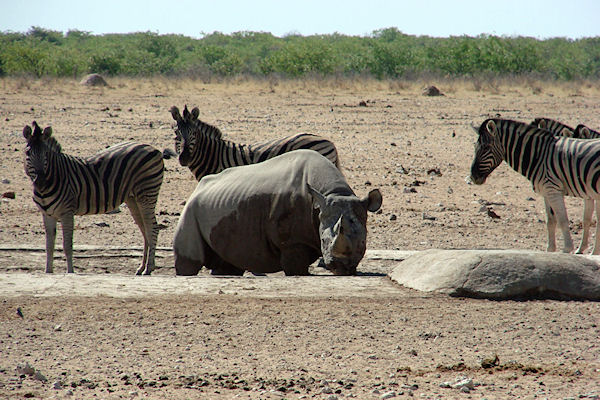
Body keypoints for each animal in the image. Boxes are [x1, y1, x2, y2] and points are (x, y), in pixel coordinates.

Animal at [23, 120, 164, 274]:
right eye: (28, 153)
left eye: (46, 154)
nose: (40, 181)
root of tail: (152, 147)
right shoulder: (47, 214)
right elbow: (49, 246)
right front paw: (48, 271)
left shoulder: (67, 212)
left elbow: (67, 245)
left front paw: (70, 272)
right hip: (133, 199)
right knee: (145, 230)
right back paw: (141, 267)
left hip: (147, 194)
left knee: (152, 228)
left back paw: (149, 268)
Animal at [472, 119, 600, 255]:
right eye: (475, 147)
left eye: (486, 147)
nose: (473, 177)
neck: (539, 156)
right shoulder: (547, 192)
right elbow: (551, 220)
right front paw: (550, 250)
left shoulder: (553, 189)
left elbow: (563, 219)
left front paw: (567, 249)